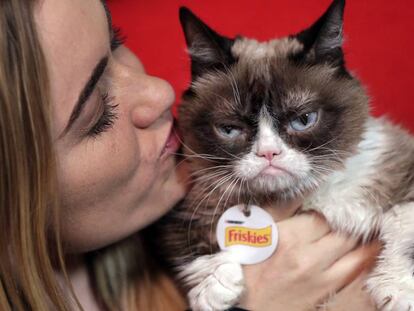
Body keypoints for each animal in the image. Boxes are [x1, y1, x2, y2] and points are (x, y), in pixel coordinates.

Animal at [158, 1, 414, 310]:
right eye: (230, 129)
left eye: (304, 120)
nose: (269, 152)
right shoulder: (184, 206)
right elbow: (190, 243)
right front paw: (213, 287)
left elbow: (404, 223)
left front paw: (396, 290)